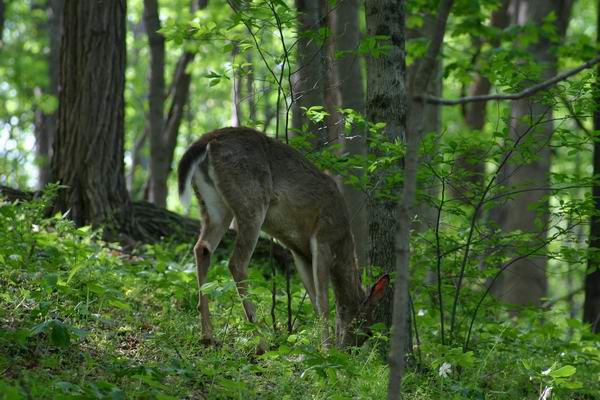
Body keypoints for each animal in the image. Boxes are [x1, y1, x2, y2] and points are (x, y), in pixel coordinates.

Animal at [176, 126, 390, 352]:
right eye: (366, 330)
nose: (348, 351)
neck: (342, 240)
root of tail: (208, 140)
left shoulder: (299, 251)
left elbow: (313, 299)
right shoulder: (322, 238)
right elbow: (323, 300)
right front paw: (326, 349)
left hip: (214, 205)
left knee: (202, 248)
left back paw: (208, 336)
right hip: (251, 200)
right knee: (236, 262)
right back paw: (261, 343)